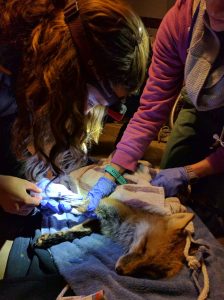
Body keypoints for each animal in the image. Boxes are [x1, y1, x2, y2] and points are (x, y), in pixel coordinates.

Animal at [35, 198, 194, 280]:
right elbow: (84, 209)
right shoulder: (105, 209)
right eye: (144, 248)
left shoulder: (98, 225)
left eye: (147, 270)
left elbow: (78, 231)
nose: (119, 270)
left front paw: (51, 238)